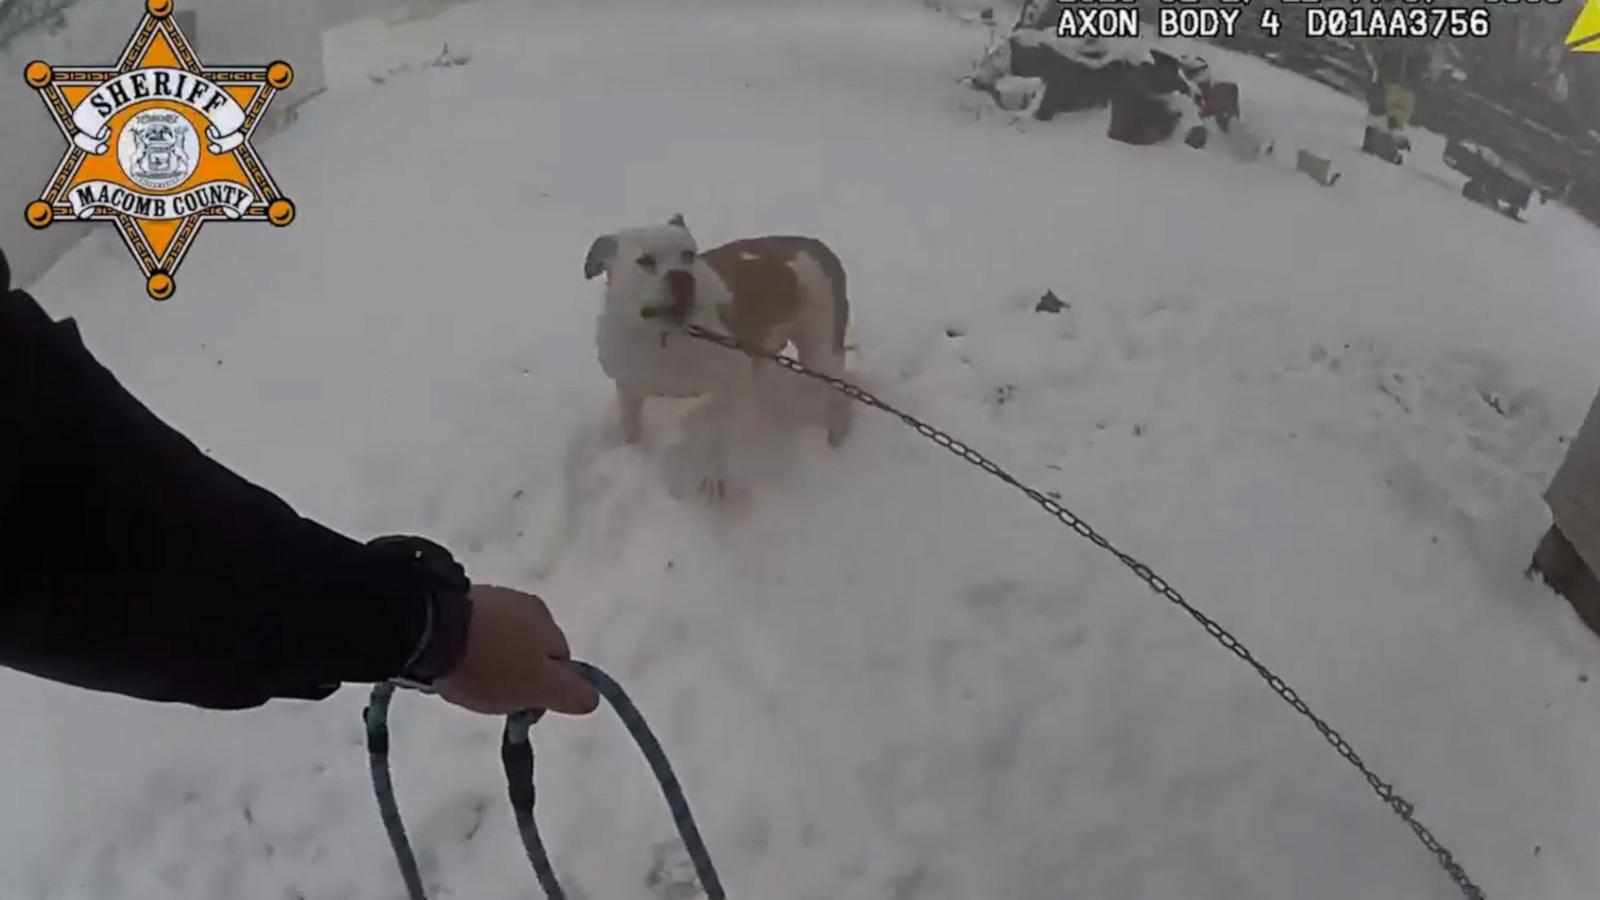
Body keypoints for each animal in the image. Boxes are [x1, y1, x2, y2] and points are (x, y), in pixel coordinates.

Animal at [585, 212, 857, 493]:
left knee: (840, 389)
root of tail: (811, 245)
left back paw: (836, 435)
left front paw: (714, 477)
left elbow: (719, 434)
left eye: (688, 255)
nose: (682, 276)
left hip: (820, 350)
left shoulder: (732, 385)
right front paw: (632, 452)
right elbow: (631, 423)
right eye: (646, 261)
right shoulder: (628, 385)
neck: (666, 340)